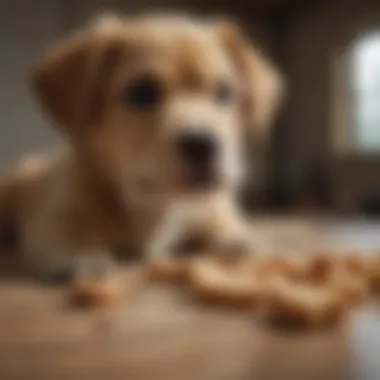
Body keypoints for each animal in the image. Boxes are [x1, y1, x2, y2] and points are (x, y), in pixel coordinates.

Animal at [0, 12, 284, 280]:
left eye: (225, 92)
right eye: (142, 93)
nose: (203, 144)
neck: (156, 206)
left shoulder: (212, 205)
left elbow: (224, 223)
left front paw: (240, 242)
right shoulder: (54, 216)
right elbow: (71, 233)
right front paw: (86, 257)